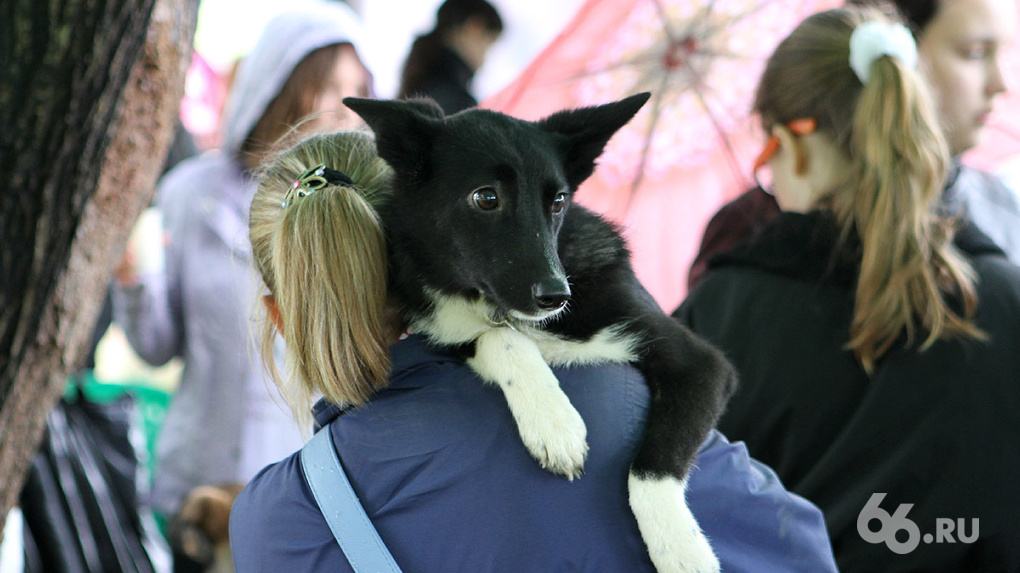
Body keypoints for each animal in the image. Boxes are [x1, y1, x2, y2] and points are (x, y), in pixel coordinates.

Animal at [346, 94, 738, 570]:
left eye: (559, 201)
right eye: (486, 197)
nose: (556, 295)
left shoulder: (701, 365)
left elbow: (653, 467)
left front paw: (680, 547)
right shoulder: (449, 331)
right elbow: (497, 338)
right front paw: (552, 419)